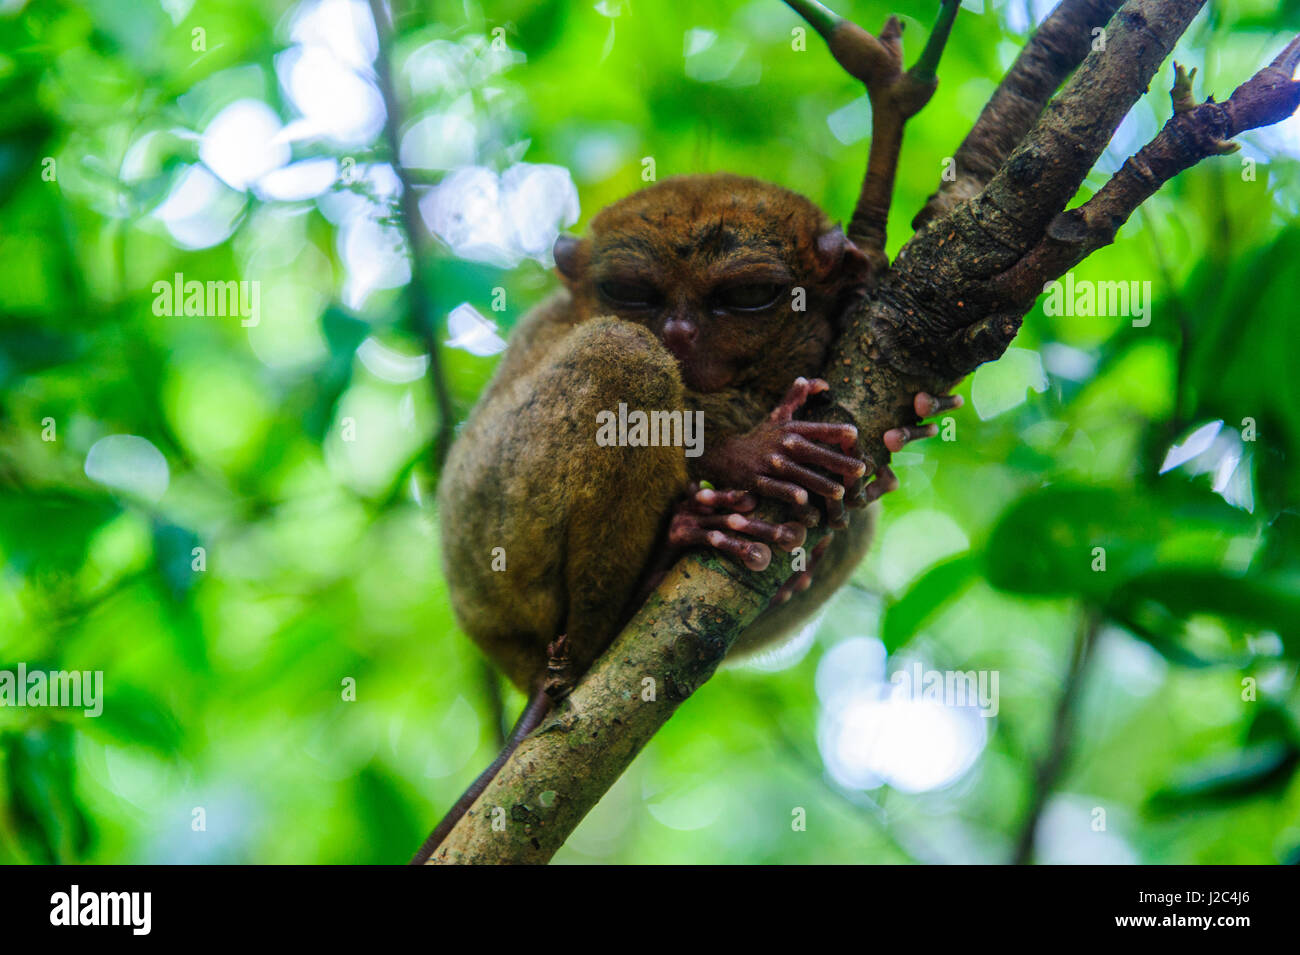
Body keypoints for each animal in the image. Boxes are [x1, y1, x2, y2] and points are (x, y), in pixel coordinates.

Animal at [411, 174, 959, 864]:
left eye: (747, 297)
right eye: (630, 293)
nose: (677, 330)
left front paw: (910, 416)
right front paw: (753, 454)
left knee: (857, 523)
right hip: (497, 544)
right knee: (620, 354)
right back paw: (647, 578)